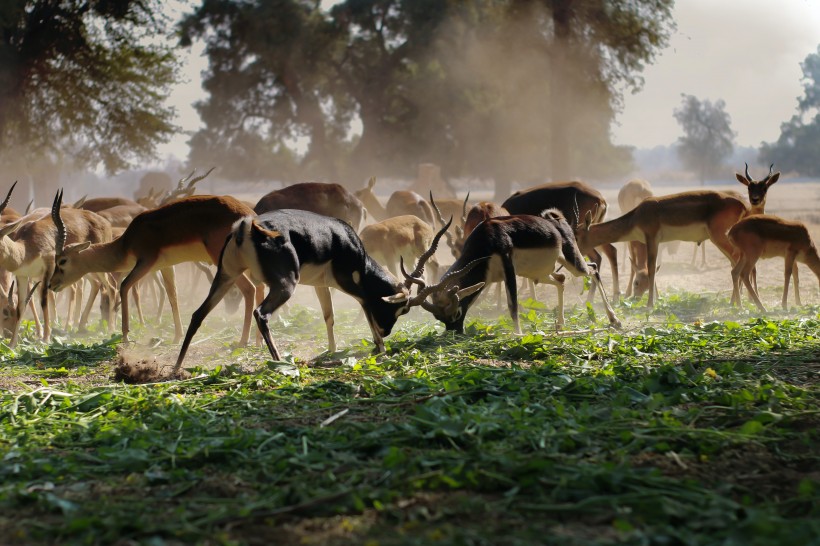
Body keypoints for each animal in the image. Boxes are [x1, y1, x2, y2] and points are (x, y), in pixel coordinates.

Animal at [176, 208, 478, 370]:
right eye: (402, 308)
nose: (386, 332)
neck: (349, 243)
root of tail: (248, 229)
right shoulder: (352, 284)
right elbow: (366, 308)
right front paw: (380, 349)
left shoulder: (322, 285)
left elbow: (329, 316)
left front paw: (332, 351)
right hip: (284, 286)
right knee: (261, 314)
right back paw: (280, 363)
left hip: (225, 276)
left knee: (198, 314)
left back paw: (177, 368)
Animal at [572, 189, 748, 306]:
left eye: (577, 235)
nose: (574, 255)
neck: (637, 216)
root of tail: (741, 204)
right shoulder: (655, 242)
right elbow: (655, 268)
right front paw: (656, 300)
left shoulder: (651, 238)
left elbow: (651, 268)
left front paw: (650, 305)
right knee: (736, 263)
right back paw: (735, 302)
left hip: (718, 237)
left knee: (737, 263)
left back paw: (737, 304)